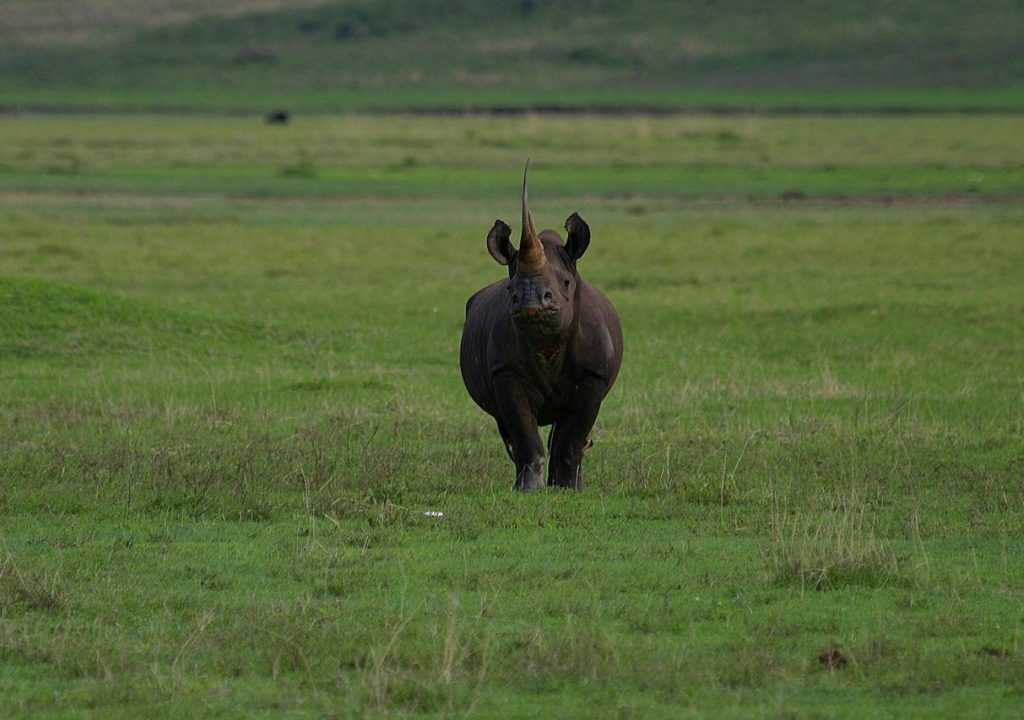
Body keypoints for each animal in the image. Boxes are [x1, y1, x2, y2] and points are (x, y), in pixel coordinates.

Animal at [460, 164, 623, 491]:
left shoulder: (593, 376)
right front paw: (528, 489)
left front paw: (568, 489)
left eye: (566, 283)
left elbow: (571, 438)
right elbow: (524, 435)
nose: (530, 299)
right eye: (511, 287)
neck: (546, 342)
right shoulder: (504, 371)